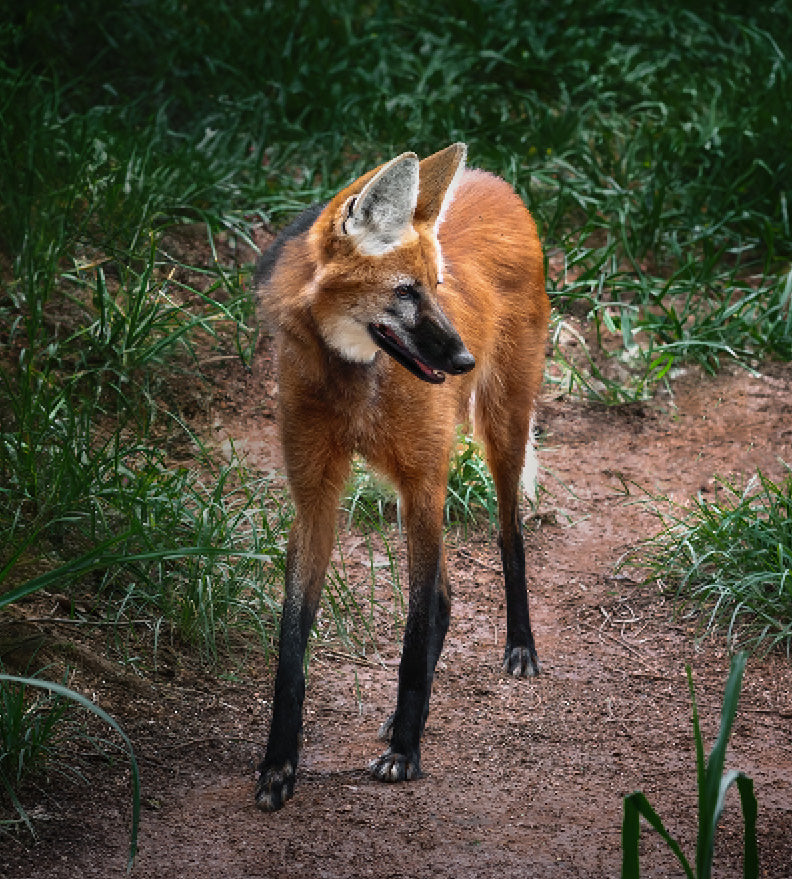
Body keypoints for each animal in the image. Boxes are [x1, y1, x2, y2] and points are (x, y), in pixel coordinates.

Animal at [254, 144, 552, 812]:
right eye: (406, 292)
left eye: (436, 288)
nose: (463, 359)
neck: (355, 379)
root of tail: (493, 179)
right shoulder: (317, 493)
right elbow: (292, 641)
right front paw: (278, 764)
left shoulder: (424, 481)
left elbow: (414, 633)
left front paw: (405, 753)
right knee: (445, 593)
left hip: (499, 427)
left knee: (508, 534)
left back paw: (520, 646)